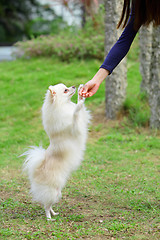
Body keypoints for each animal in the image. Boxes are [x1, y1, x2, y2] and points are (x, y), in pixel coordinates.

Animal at [22, 83, 90, 220]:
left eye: (67, 87)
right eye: (65, 90)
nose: (73, 86)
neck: (63, 106)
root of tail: (36, 170)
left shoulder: (82, 120)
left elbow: (80, 112)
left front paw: (81, 95)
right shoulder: (74, 127)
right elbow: (76, 114)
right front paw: (79, 103)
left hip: (57, 192)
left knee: (49, 205)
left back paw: (54, 213)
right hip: (52, 191)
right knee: (46, 206)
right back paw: (49, 218)